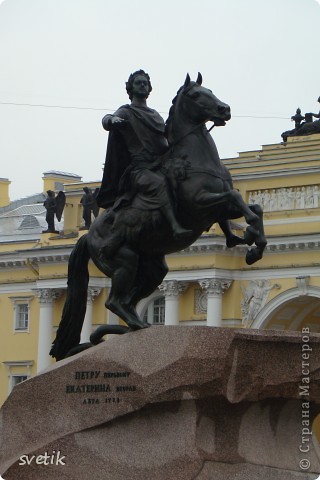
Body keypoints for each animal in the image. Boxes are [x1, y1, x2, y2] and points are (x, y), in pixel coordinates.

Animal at [50, 74, 268, 360]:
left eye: (210, 90)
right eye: (196, 95)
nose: (225, 109)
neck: (194, 159)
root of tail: (87, 237)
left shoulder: (218, 210)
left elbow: (253, 208)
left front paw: (253, 245)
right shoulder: (200, 205)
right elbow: (236, 197)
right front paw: (251, 241)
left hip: (153, 269)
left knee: (128, 300)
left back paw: (138, 326)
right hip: (124, 261)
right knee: (114, 301)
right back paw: (137, 325)